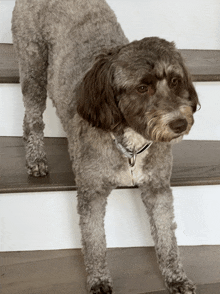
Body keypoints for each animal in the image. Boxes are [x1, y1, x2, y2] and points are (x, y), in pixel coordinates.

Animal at [11, 0, 199, 294]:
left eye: (175, 81)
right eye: (142, 88)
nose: (179, 123)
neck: (130, 144)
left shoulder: (158, 189)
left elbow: (167, 238)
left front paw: (177, 278)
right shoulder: (92, 193)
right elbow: (94, 239)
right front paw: (99, 279)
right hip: (32, 64)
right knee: (32, 118)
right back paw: (36, 160)